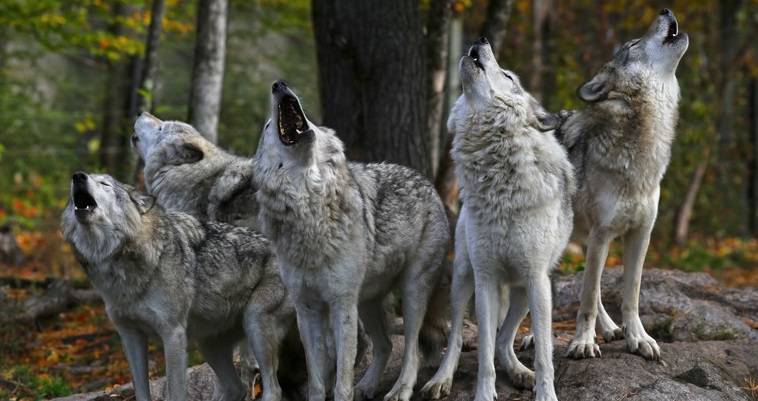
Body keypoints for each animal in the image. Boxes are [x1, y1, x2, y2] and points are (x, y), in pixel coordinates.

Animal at [61, 171, 294, 400]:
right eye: (83, 178)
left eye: (105, 184)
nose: (78, 176)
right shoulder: (130, 337)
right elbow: (141, 392)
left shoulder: (172, 334)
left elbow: (175, 391)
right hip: (209, 345)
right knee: (236, 388)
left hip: (255, 323)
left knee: (273, 389)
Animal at [254, 80, 452, 400]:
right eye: (269, 126)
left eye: (311, 118)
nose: (278, 84)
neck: (310, 207)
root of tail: (426, 181)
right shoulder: (307, 310)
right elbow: (316, 377)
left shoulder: (341, 304)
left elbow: (341, 378)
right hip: (368, 303)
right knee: (386, 345)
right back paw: (368, 386)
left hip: (412, 292)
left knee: (413, 351)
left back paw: (400, 390)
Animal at [422, 37, 576, 400]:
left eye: (507, 75)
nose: (481, 39)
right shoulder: (486, 278)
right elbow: (482, 356)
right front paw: (483, 393)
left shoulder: (536, 280)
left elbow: (544, 354)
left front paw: (546, 393)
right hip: (464, 279)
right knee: (459, 338)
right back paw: (441, 380)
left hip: (527, 290)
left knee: (505, 339)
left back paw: (521, 372)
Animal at [560, 8, 692, 360]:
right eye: (633, 44)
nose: (665, 10)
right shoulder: (603, 233)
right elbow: (588, 298)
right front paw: (582, 342)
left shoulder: (639, 234)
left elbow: (630, 294)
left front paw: (639, 339)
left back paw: (610, 329)